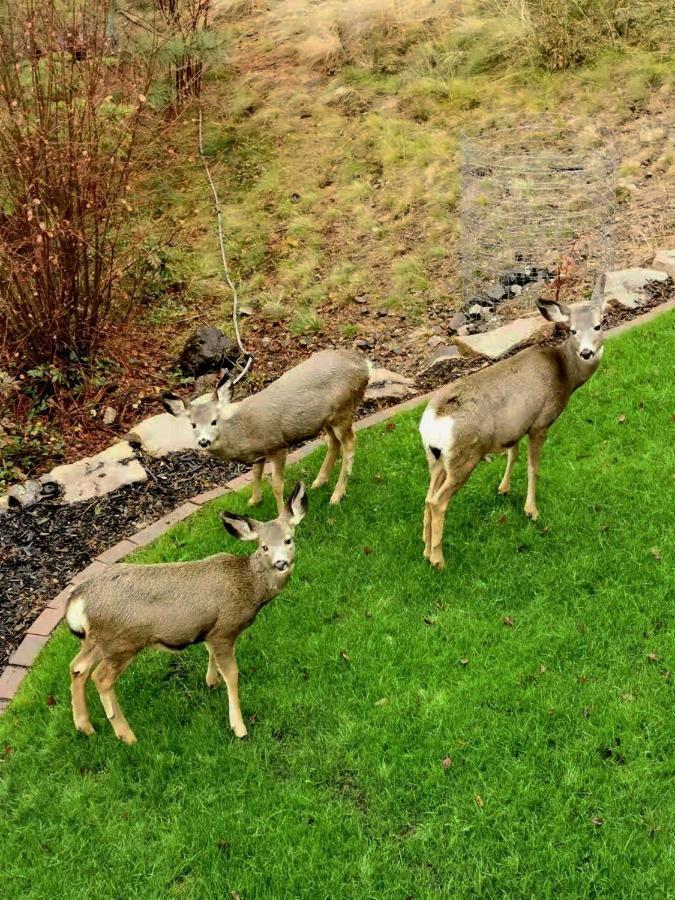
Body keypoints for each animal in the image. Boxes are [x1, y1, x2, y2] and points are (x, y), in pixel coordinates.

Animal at [64, 486, 308, 744]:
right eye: (264, 547)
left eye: (288, 539)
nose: (281, 563)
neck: (249, 587)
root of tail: (77, 599)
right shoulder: (224, 630)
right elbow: (232, 674)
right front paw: (238, 726)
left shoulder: (209, 629)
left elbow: (210, 655)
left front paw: (211, 681)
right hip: (122, 641)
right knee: (101, 678)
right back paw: (127, 735)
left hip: (97, 639)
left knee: (78, 667)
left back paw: (84, 726)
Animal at [164, 348, 374, 510]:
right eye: (193, 425)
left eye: (214, 421)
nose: (203, 441)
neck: (242, 432)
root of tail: (366, 365)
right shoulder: (260, 453)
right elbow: (255, 473)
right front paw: (254, 500)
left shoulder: (278, 444)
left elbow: (277, 484)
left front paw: (282, 513)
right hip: (327, 418)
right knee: (333, 442)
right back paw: (319, 482)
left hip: (344, 409)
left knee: (350, 444)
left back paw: (336, 495)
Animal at [420, 274, 608, 568]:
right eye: (572, 330)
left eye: (598, 325)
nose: (587, 352)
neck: (565, 374)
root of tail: (432, 423)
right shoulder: (540, 422)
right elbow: (533, 467)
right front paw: (531, 510)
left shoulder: (516, 426)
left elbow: (512, 454)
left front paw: (504, 488)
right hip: (464, 456)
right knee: (438, 502)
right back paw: (439, 560)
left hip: (436, 458)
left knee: (428, 498)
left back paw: (426, 550)